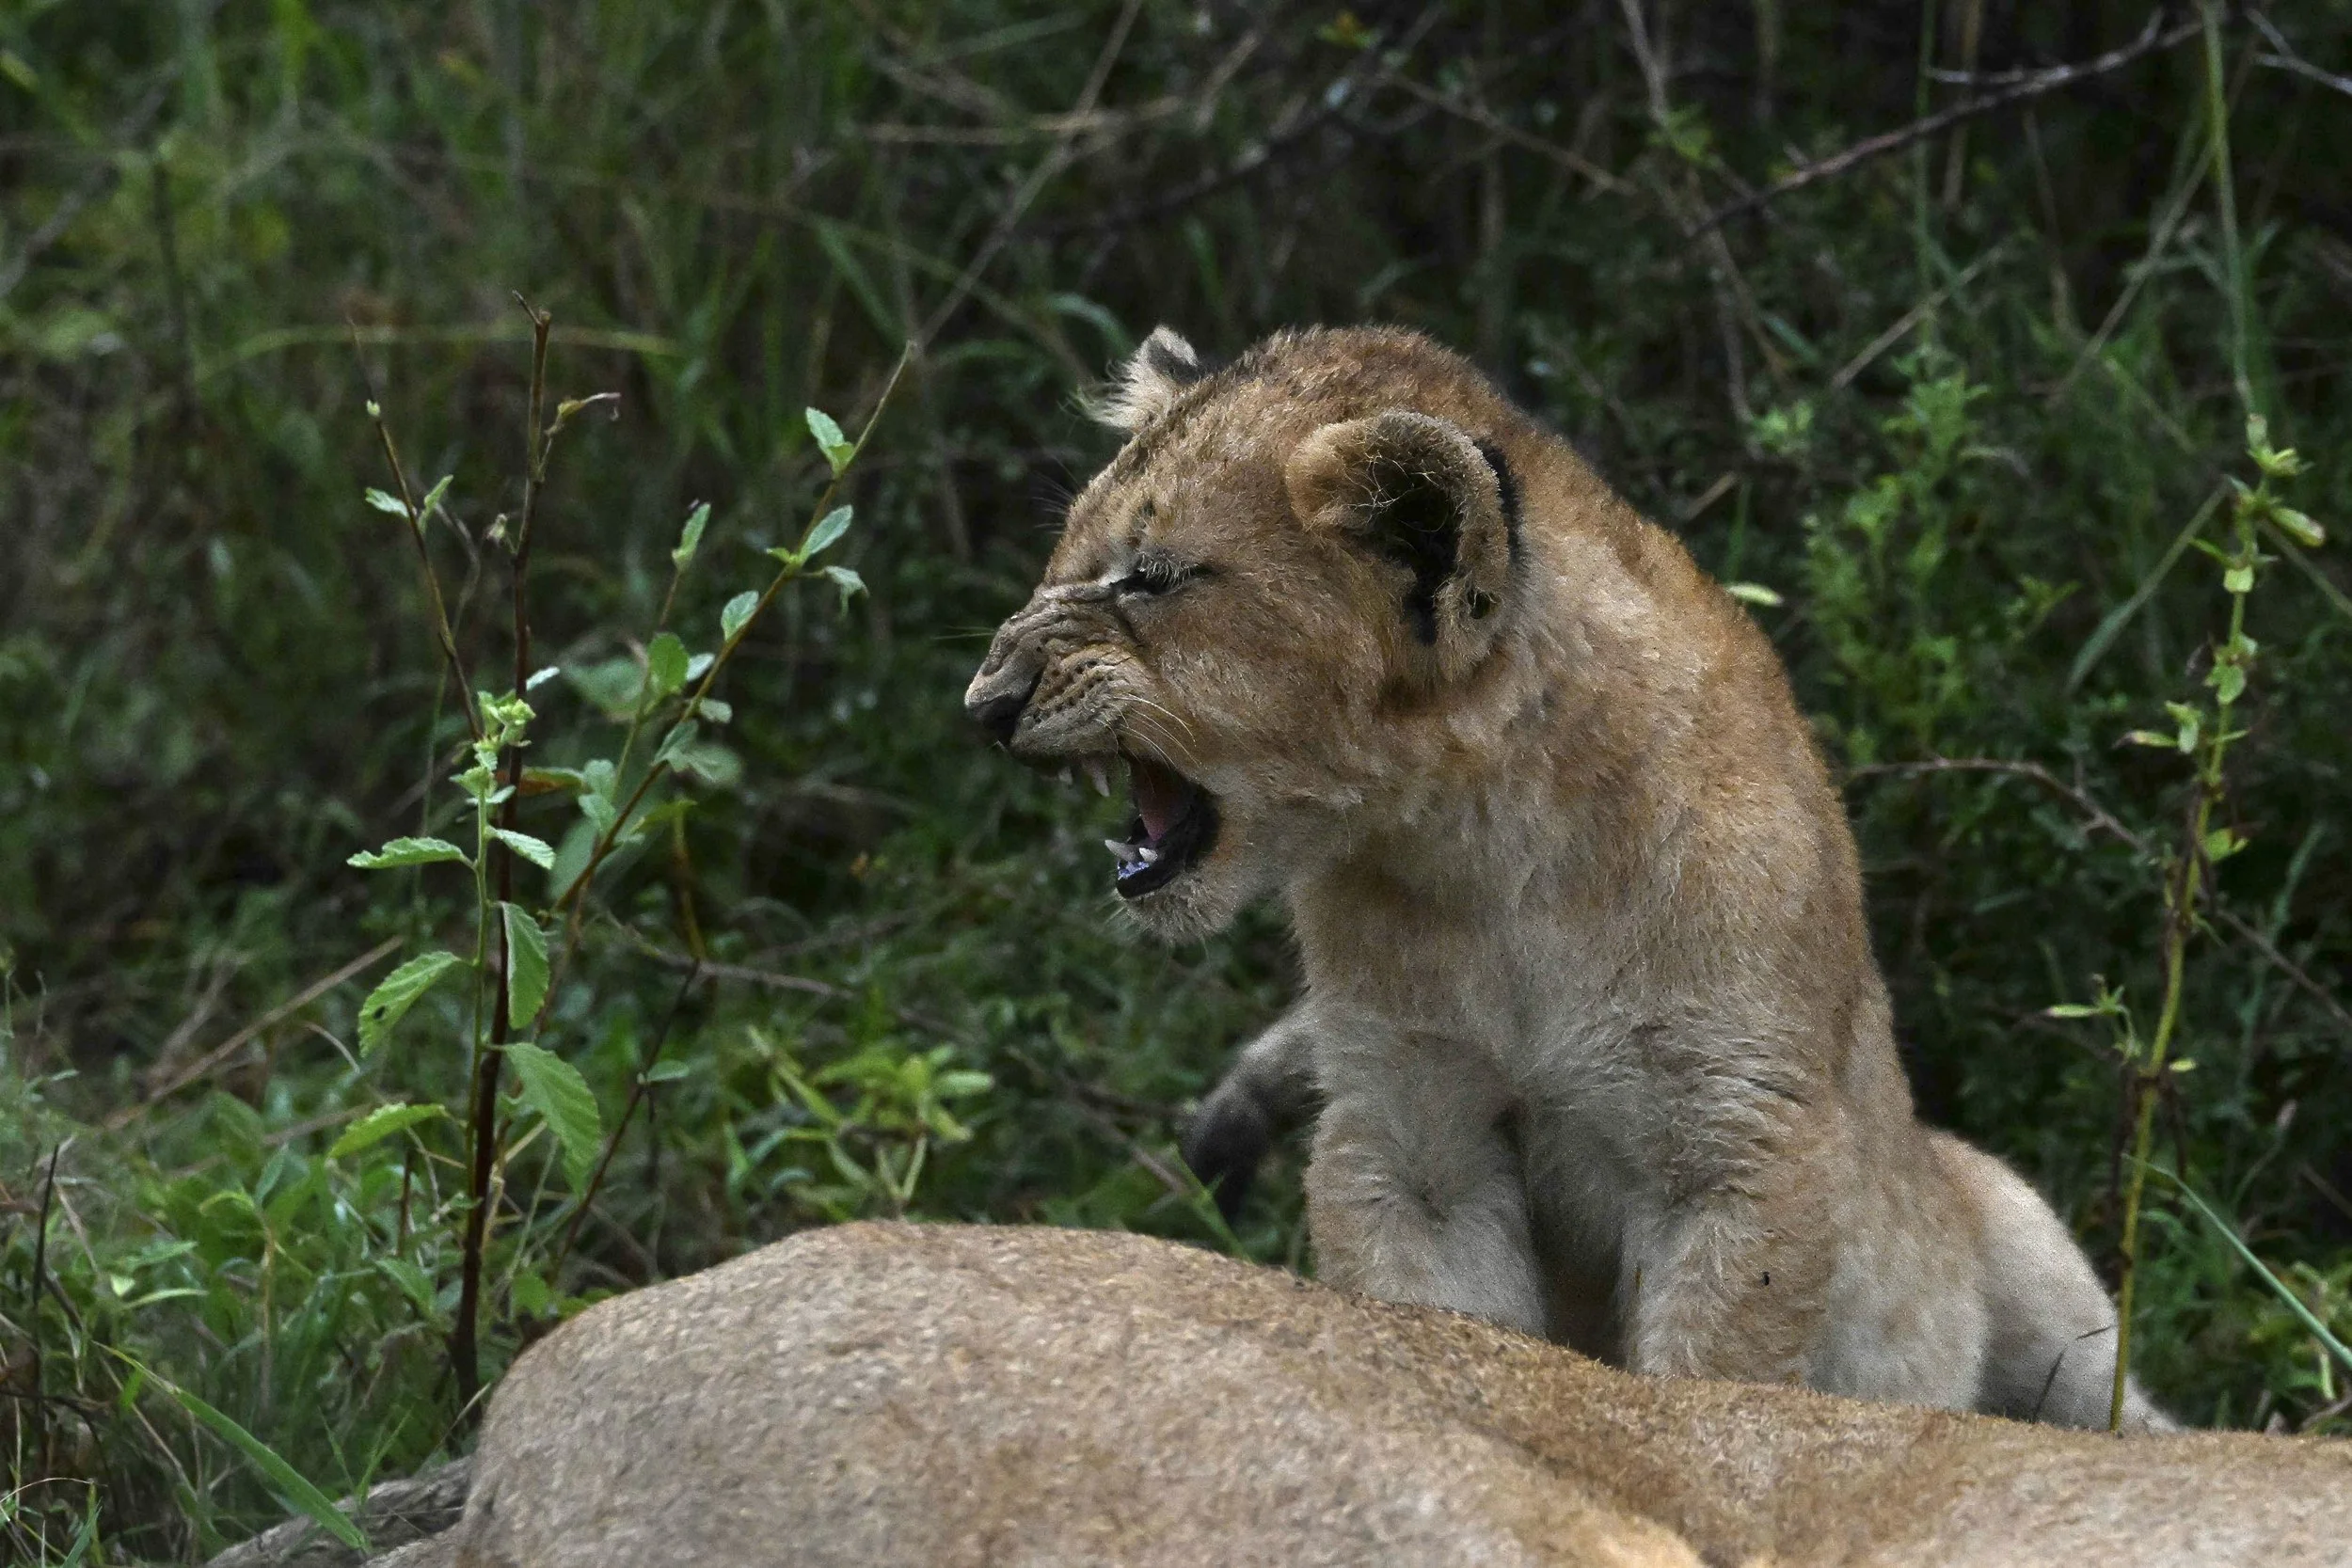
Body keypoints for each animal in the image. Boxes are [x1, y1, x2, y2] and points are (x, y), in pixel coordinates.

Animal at [963, 325, 2166, 1428]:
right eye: (1068, 559)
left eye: (1152, 577)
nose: (984, 703)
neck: (1485, 851)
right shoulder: (1414, 1134)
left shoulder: (1735, 1140)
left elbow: (1709, 1372)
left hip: (2032, 1255)